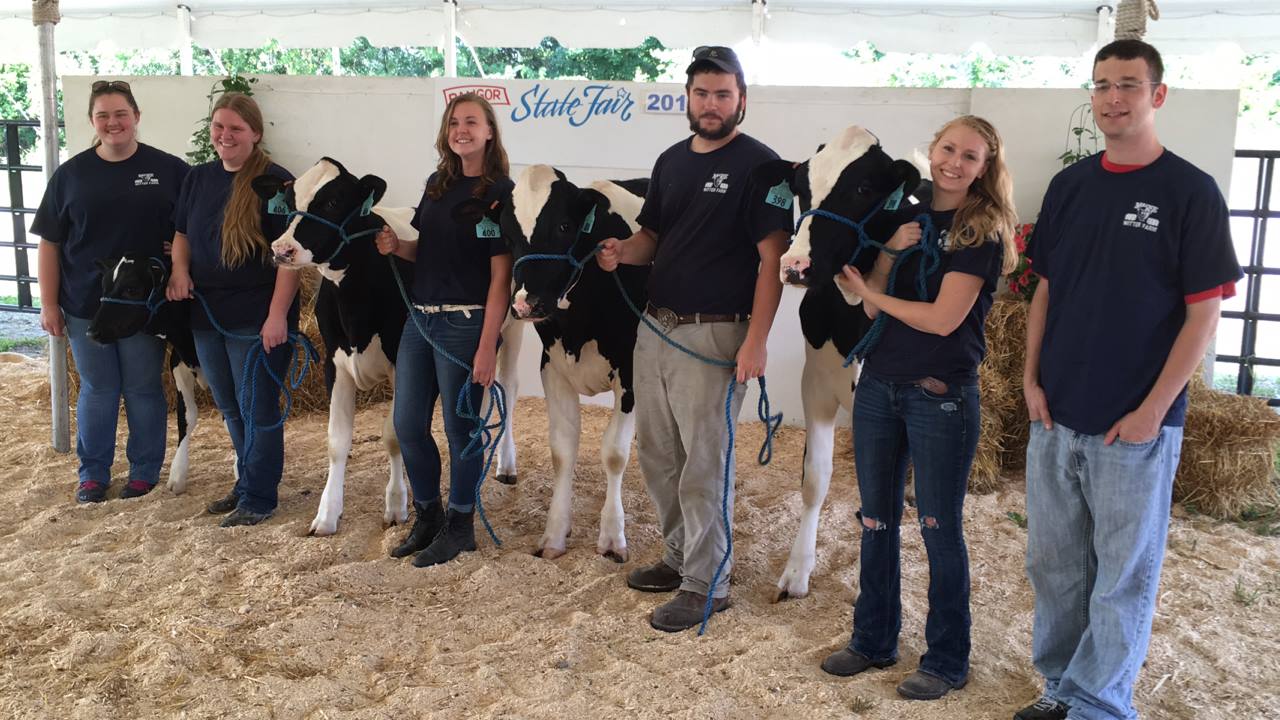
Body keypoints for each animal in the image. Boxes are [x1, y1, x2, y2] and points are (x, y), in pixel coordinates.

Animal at [87, 252, 204, 491]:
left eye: (132, 289)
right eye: (104, 287)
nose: (92, 332)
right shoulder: (178, 362)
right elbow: (187, 416)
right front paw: (177, 475)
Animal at [250, 159, 524, 535]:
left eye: (332, 202)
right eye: (289, 202)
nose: (282, 249)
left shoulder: (400, 363)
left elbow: (394, 434)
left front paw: (396, 505)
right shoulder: (335, 365)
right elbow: (337, 442)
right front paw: (327, 513)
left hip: (513, 327)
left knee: (508, 389)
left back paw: (506, 465)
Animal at [458, 163, 650, 561]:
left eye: (563, 226)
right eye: (507, 234)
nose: (525, 303)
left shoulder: (630, 370)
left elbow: (614, 453)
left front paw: (612, 537)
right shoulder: (554, 366)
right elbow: (562, 450)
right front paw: (555, 535)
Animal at [747, 126, 921, 597]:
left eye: (863, 188)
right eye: (800, 188)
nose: (795, 264)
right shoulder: (816, 385)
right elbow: (815, 478)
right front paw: (797, 570)